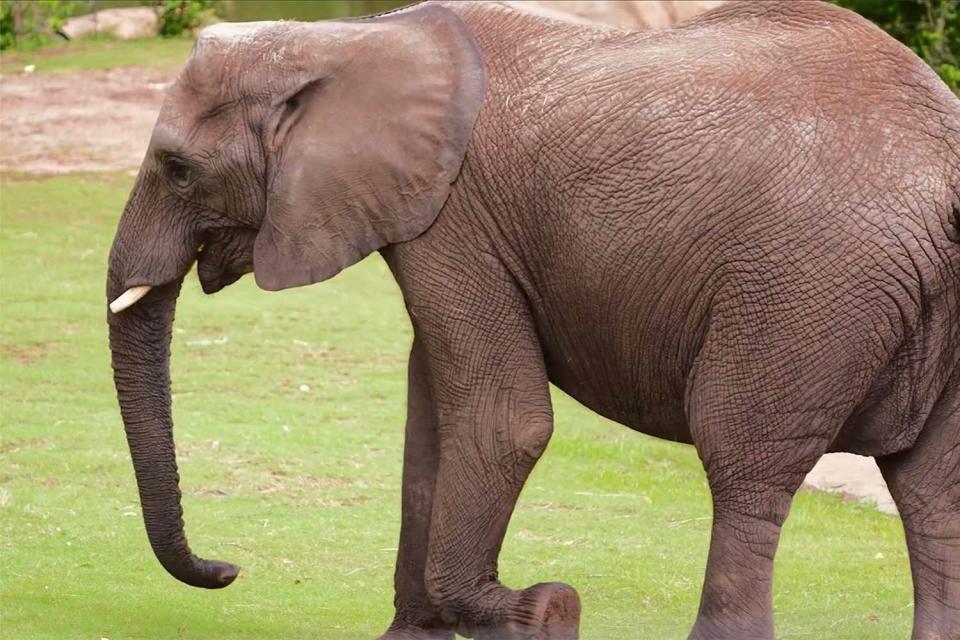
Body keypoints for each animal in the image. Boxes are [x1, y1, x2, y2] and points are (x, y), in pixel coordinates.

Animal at [107, 1, 960, 640]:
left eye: (178, 169)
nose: (228, 569)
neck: (354, 38)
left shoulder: (456, 219)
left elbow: (502, 421)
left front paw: (545, 612)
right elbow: (431, 422)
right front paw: (415, 635)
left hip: (805, 289)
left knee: (743, 461)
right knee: (933, 493)